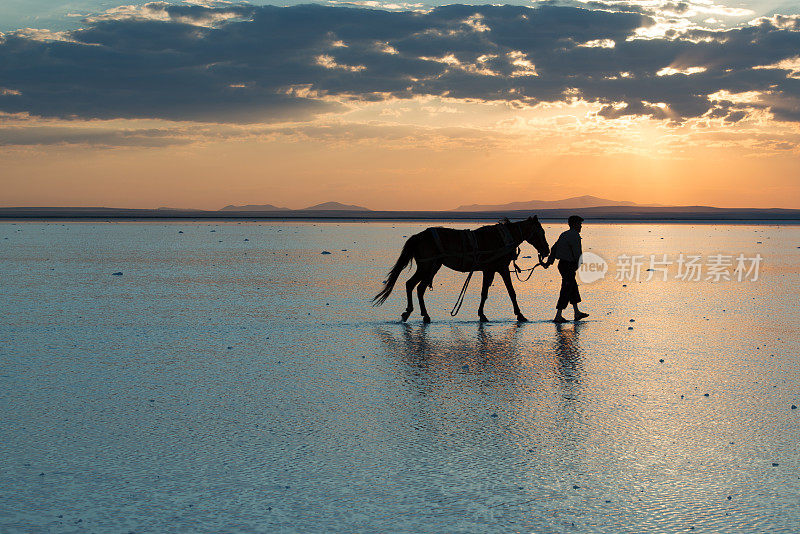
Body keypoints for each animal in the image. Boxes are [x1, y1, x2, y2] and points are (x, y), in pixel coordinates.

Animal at [374, 217, 552, 322]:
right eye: (541, 232)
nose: (547, 250)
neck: (503, 237)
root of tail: (418, 236)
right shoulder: (501, 268)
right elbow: (511, 292)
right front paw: (520, 315)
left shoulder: (489, 269)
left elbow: (484, 293)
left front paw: (482, 315)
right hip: (428, 266)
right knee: (413, 286)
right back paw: (416, 313)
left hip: (431, 267)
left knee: (416, 287)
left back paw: (419, 314)